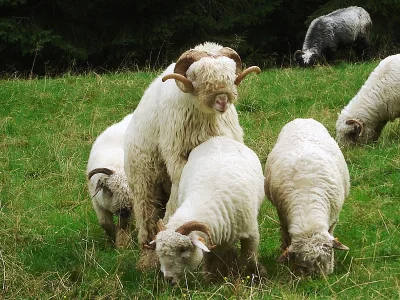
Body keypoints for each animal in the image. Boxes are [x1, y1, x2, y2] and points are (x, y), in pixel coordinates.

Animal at [86, 113, 134, 247]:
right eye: (110, 190)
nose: (125, 210)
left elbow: (124, 226)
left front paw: (122, 244)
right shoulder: (97, 203)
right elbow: (105, 223)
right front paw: (110, 240)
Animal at [125, 40, 262, 270]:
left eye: (229, 74)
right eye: (198, 75)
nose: (222, 100)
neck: (206, 117)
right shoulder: (176, 155)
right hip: (144, 182)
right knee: (147, 218)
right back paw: (146, 259)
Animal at [152, 136, 268, 284]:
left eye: (183, 249)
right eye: (159, 251)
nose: (168, 279)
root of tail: (218, 138)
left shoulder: (251, 233)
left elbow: (250, 258)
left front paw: (256, 277)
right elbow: (211, 258)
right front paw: (212, 278)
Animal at [266, 118, 350, 276]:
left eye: (328, 253)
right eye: (302, 261)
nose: (319, 278)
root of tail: (302, 119)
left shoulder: (333, 220)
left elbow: (331, 232)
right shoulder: (282, 218)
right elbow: (285, 238)